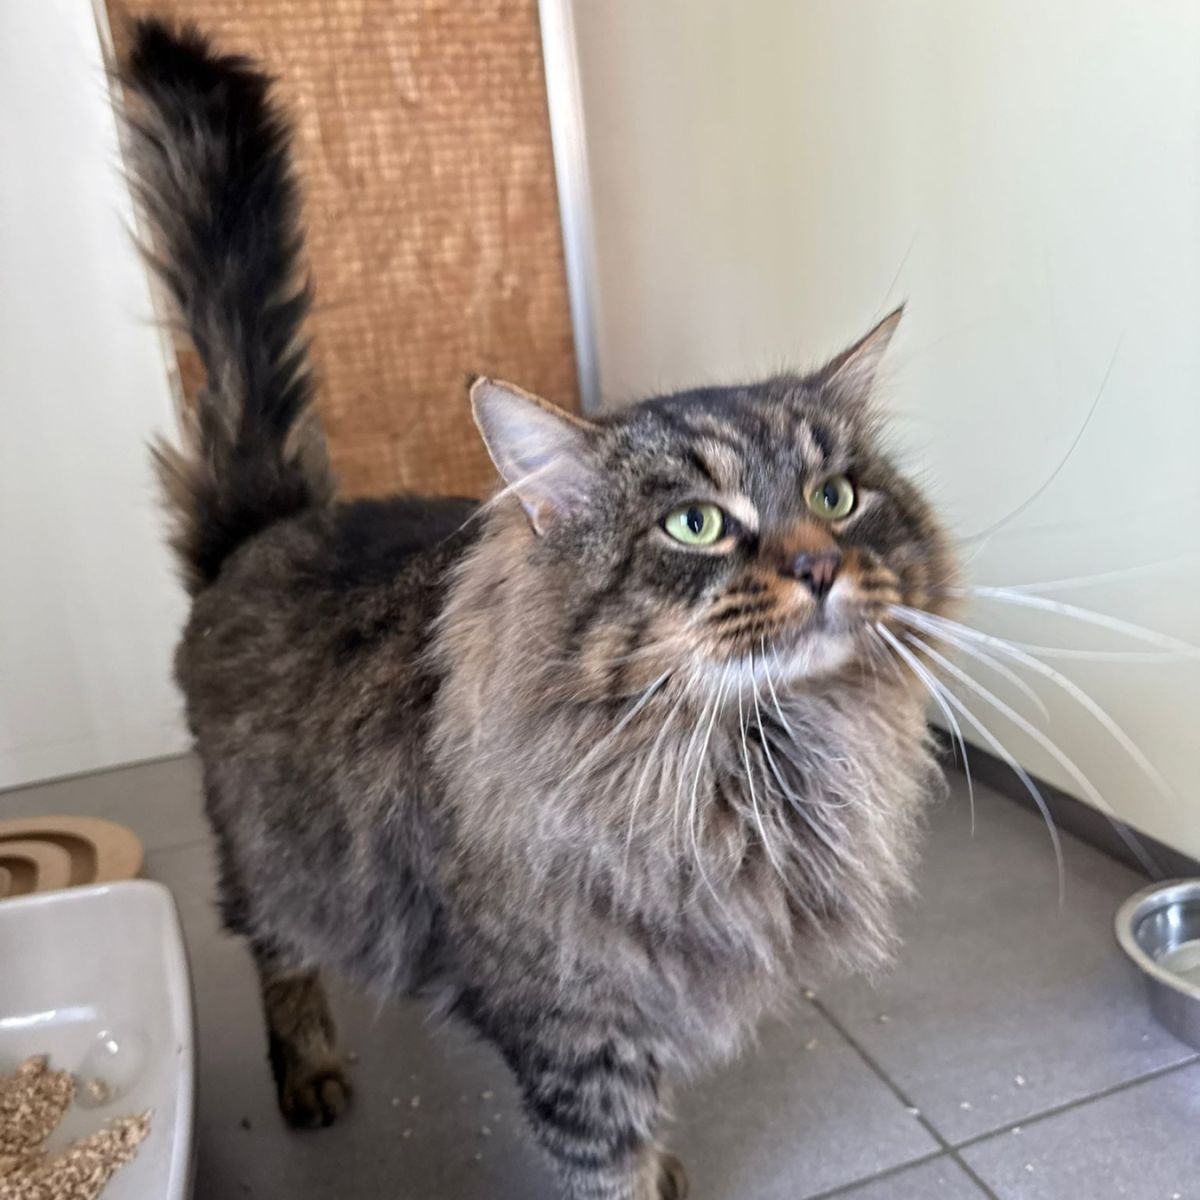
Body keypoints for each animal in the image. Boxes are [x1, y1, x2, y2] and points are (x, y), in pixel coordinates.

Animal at [123, 20, 958, 1200]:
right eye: (695, 525)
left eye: (838, 498)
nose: (821, 566)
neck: (748, 761)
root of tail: (272, 526)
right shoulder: (576, 1028)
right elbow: (608, 1162)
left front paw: (671, 1169)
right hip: (274, 859)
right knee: (275, 953)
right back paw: (312, 1070)